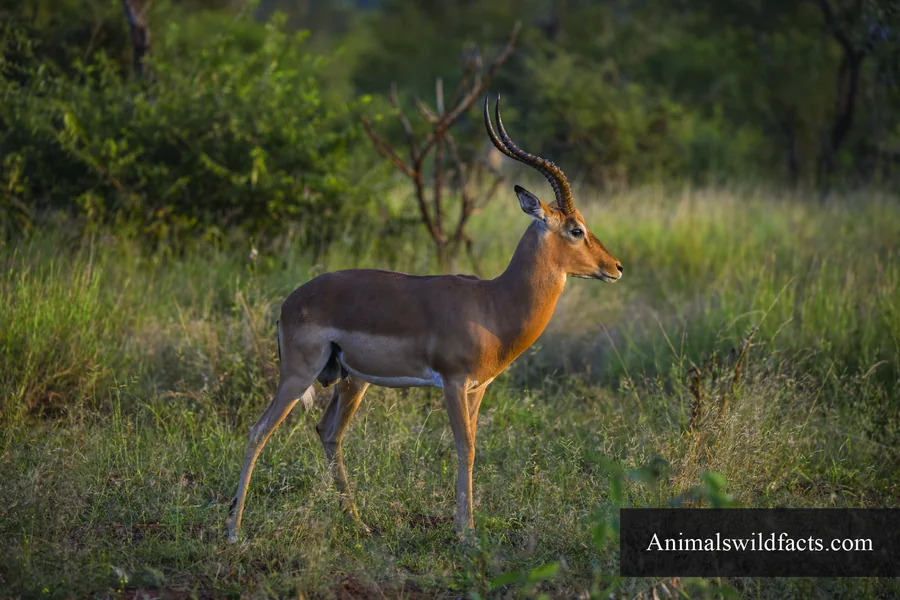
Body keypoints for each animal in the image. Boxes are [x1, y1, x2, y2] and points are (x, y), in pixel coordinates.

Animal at [226, 96, 623, 541]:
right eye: (576, 229)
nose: (616, 267)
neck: (493, 303)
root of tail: (289, 302)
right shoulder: (452, 382)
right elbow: (464, 448)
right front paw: (466, 535)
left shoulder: (477, 388)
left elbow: (473, 447)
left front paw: (466, 527)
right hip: (299, 375)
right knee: (258, 431)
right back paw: (233, 530)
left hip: (351, 380)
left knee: (328, 433)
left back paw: (359, 524)